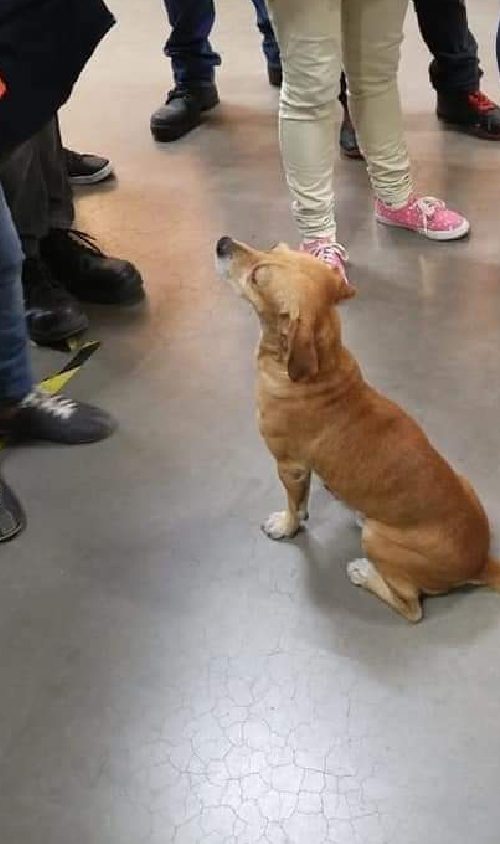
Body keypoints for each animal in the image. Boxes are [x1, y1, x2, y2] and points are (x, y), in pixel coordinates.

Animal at [217, 236, 500, 620]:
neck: (321, 368)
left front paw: (287, 525)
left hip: (378, 540)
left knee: (411, 607)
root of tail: (480, 563)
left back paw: (364, 572)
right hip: (463, 481)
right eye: (276, 246)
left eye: (258, 277)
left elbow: (294, 505)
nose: (222, 242)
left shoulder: (290, 466)